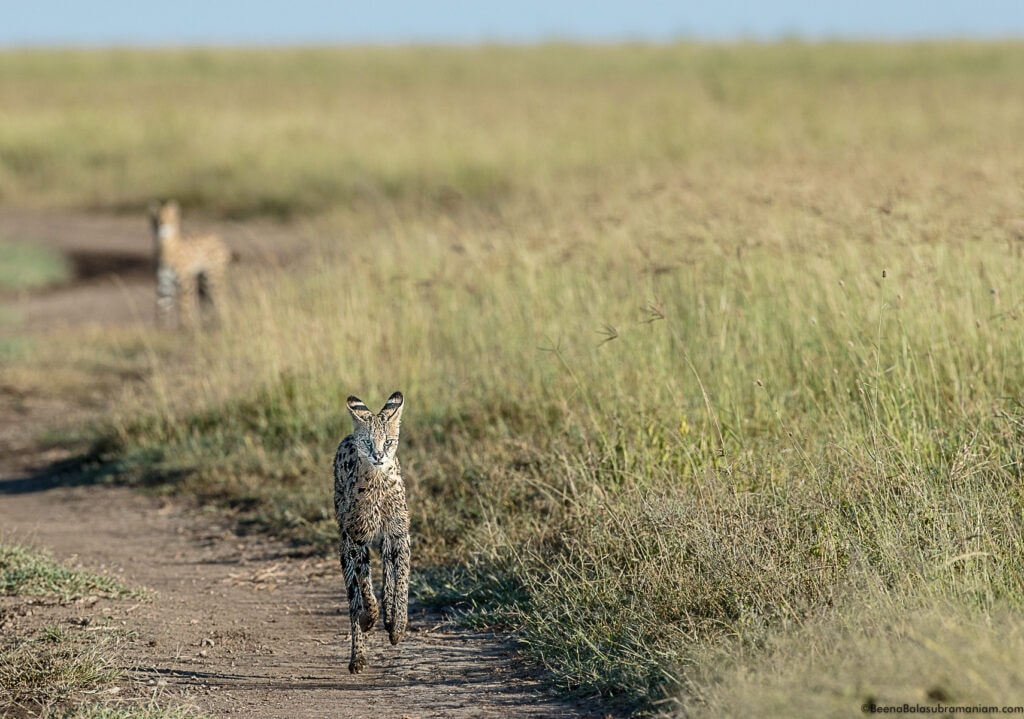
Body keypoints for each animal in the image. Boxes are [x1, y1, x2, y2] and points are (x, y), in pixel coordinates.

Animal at [148, 199, 230, 329]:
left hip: (213, 279)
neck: (164, 245)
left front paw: (185, 326)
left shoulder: (185, 282)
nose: (160, 224)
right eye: (155, 218)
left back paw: (223, 320)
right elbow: (161, 306)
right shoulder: (164, 284)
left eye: (168, 217)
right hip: (203, 281)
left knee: (221, 298)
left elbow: (185, 305)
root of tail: (220, 239)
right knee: (208, 301)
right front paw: (159, 328)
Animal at [333, 391, 409, 671]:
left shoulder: (399, 534)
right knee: (353, 598)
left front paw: (397, 627)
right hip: (346, 544)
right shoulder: (357, 537)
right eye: (367, 442)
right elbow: (364, 587)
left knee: (387, 572)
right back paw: (358, 656)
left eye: (388, 442)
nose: (378, 456)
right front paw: (371, 617)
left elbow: (402, 582)